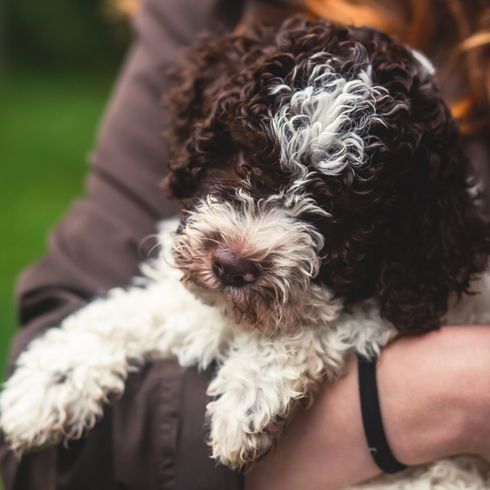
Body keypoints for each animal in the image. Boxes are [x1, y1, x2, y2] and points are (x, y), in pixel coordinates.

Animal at [2, 16, 490, 490]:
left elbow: (335, 321)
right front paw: (51, 380)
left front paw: (249, 396)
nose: (232, 266)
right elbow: (139, 313)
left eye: (340, 209)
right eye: (242, 154)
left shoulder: (423, 295)